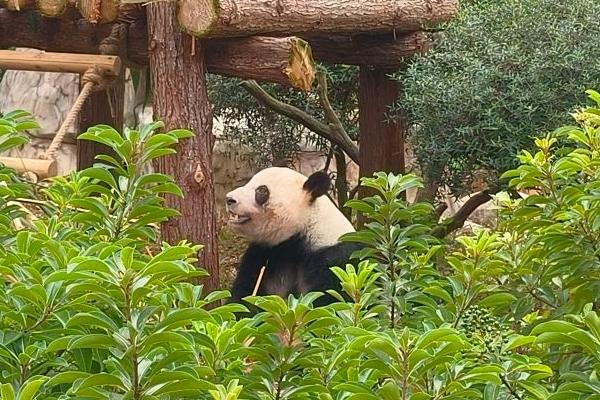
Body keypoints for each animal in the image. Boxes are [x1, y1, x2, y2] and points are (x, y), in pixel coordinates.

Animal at [224, 167, 356, 308]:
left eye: (261, 190)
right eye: (248, 182)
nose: (229, 199)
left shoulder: (335, 261)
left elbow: (330, 300)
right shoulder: (264, 254)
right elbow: (245, 293)